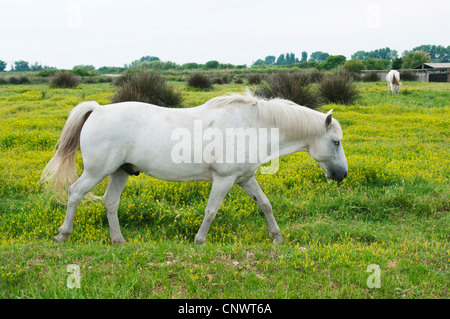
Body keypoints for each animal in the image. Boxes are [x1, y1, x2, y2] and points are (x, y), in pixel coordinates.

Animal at [41, 94, 348, 246]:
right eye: (336, 142)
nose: (342, 175)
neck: (252, 125)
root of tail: (97, 109)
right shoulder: (224, 180)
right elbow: (211, 211)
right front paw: (199, 241)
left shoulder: (245, 179)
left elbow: (265, 205)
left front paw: (277, 238)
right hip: (97, 171)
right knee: (75, 193)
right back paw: (63, 235)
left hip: (120, 171)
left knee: (110, 202)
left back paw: (118, 240)